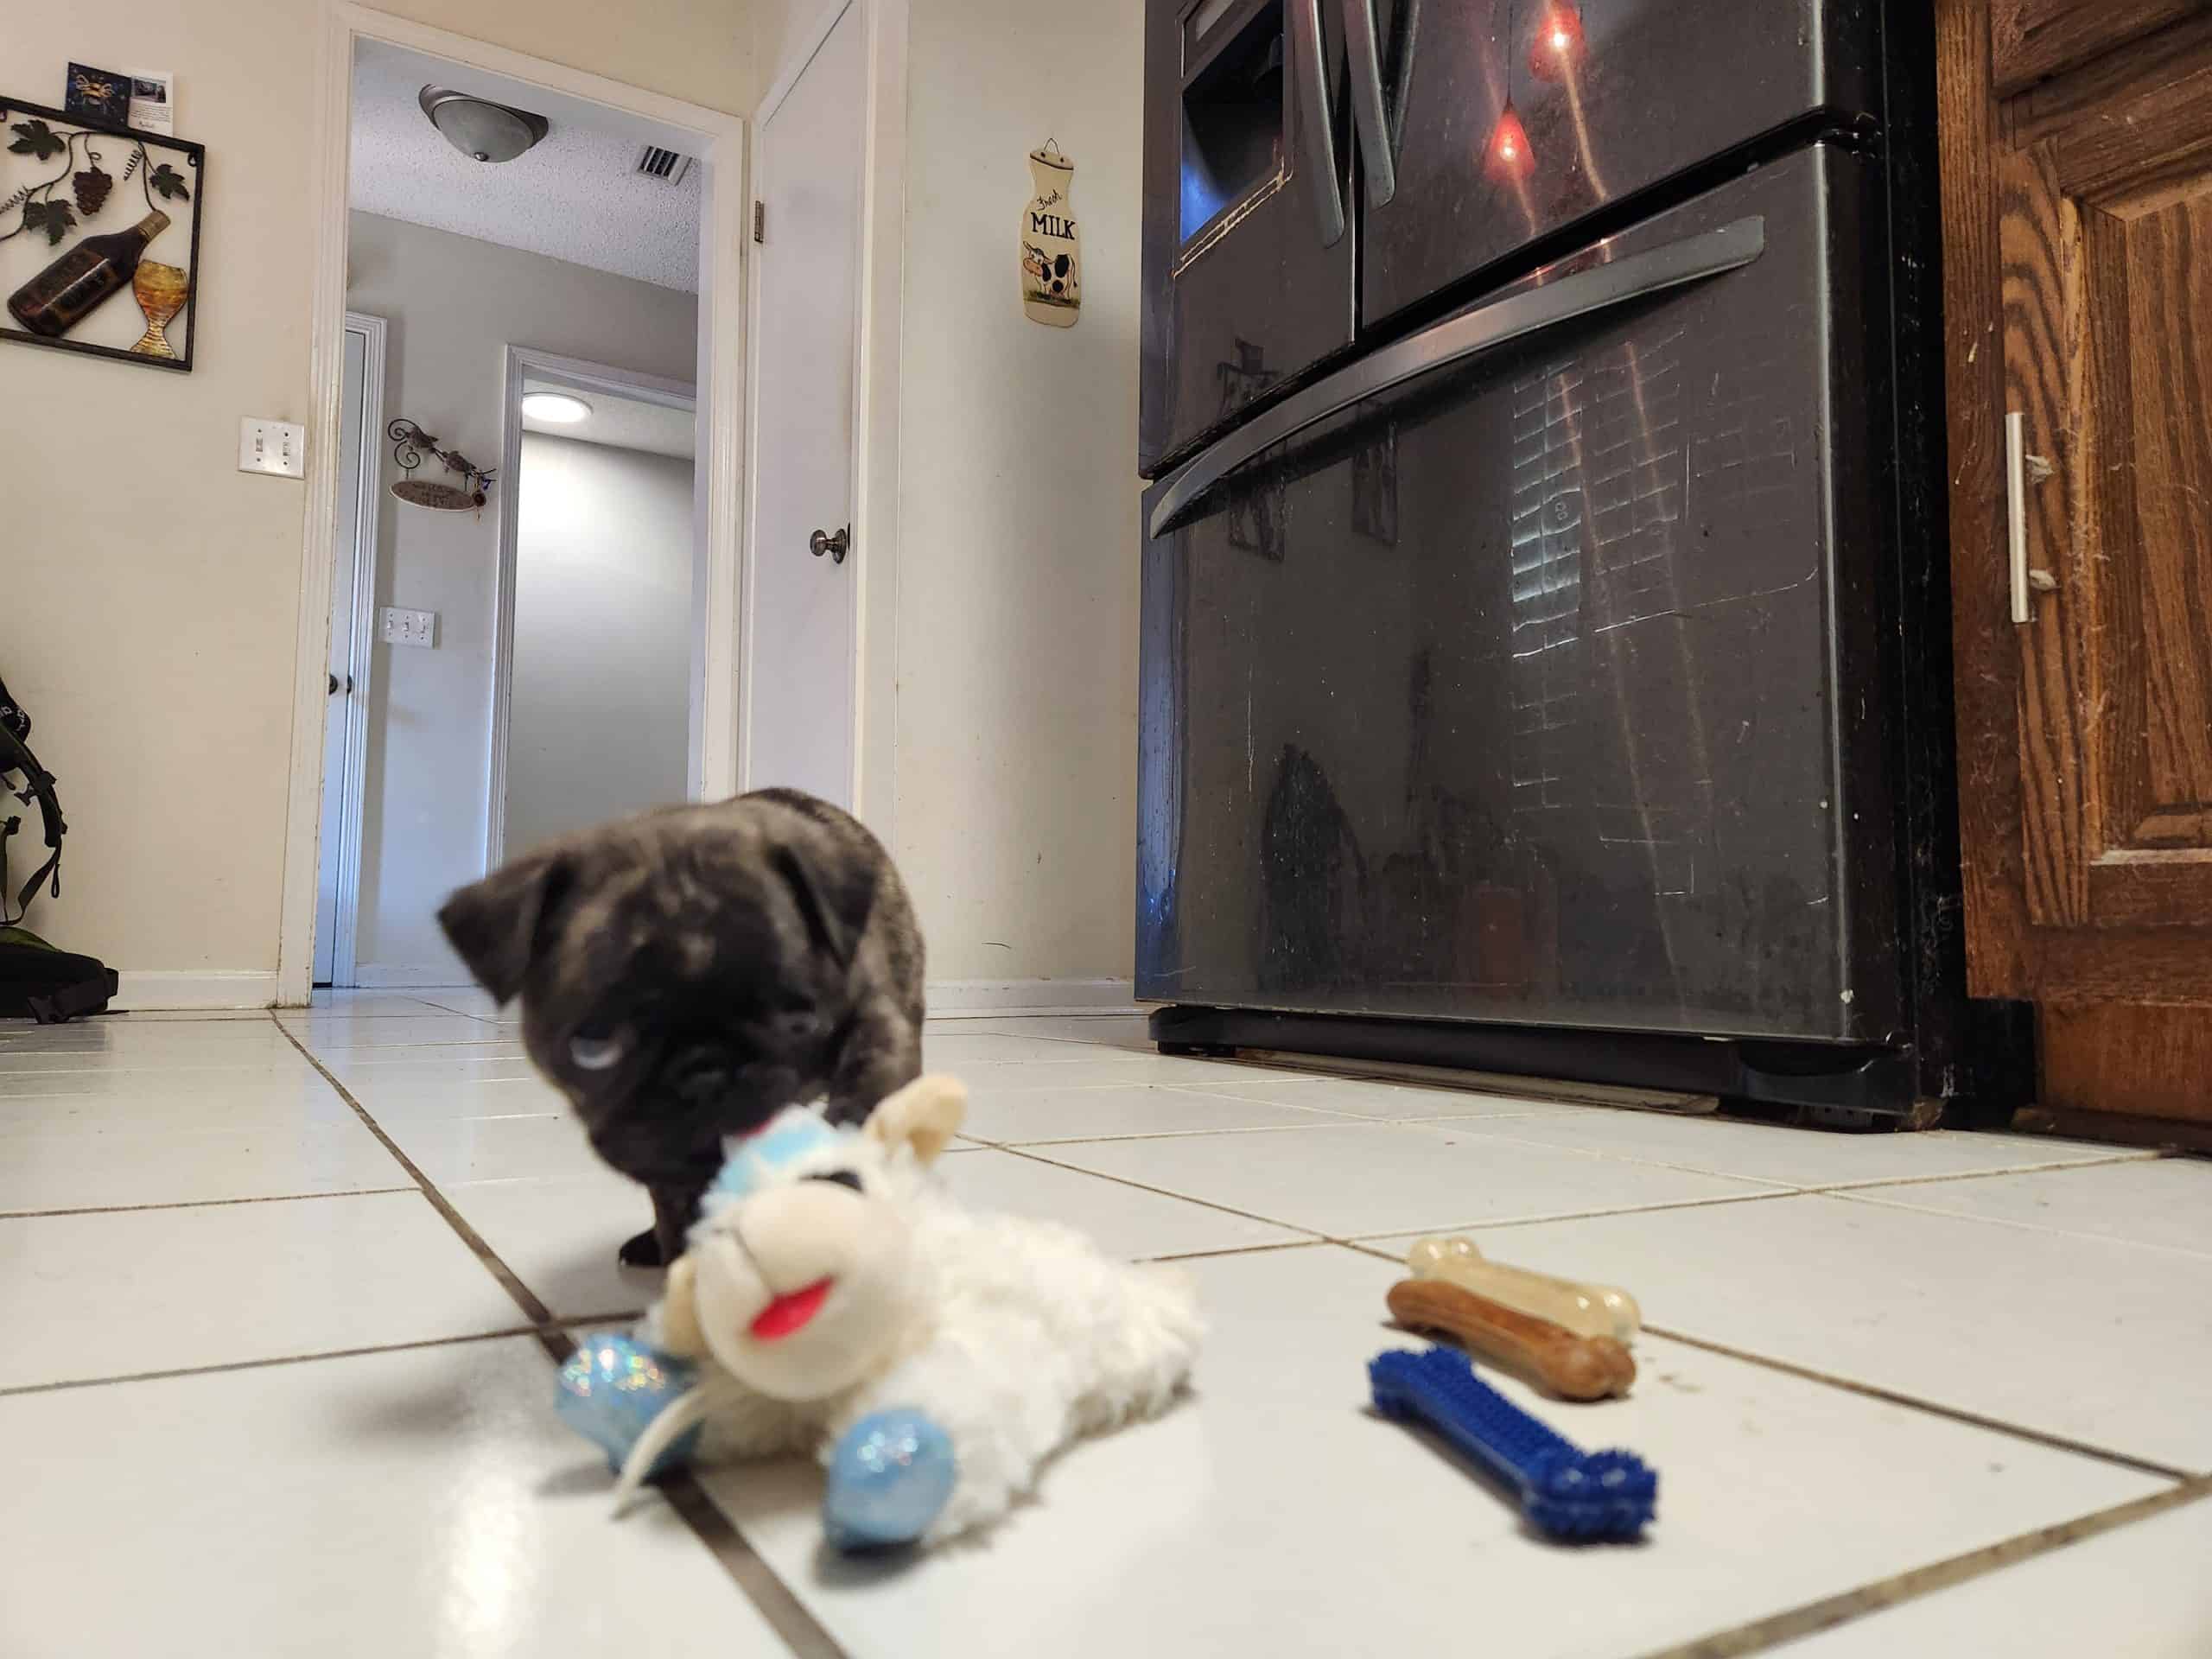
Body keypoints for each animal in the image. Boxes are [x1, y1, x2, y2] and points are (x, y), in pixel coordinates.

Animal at [437, 788, 925, 1270]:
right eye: (593, 1047)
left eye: (798, 1019)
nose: (706, 1072)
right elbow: (677, 1202)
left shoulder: (880, 1023)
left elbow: (865, 1095)